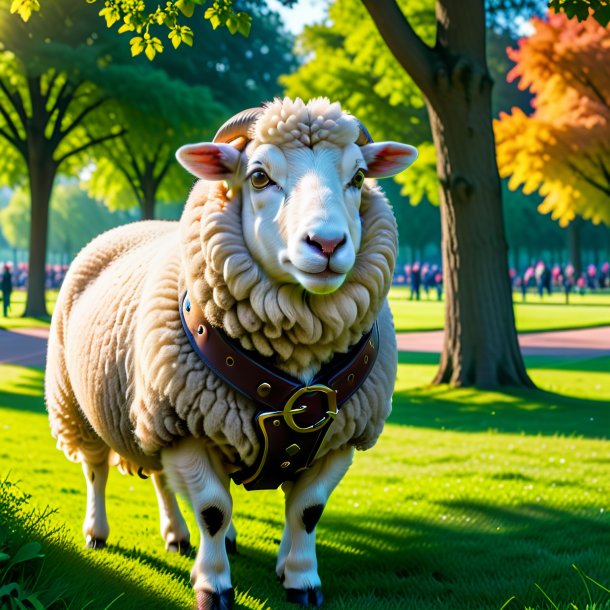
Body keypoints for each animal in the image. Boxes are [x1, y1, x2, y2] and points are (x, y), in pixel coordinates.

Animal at [45, 97, 416, 604]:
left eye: (358, 177)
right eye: (258, 176)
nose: (327, 243)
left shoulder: (342, 436)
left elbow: (307, 511)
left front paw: (300, 578)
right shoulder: (184, 428)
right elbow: (213, 509)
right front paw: (214, 586)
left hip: (149, 409)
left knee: (161, 477)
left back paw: (179, 536)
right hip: (83, 404)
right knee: (96, 469)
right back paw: (98, 532)